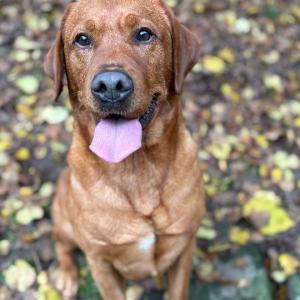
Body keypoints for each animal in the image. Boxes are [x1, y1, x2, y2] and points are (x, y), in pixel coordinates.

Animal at [44, 0, 204, 300]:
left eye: (143, 34)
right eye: (82, 39)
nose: (110, 86)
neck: (136, 169)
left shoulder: (184, 247)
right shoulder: (100, 261)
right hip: (62, 216)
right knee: (61, 244)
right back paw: (67, 275)